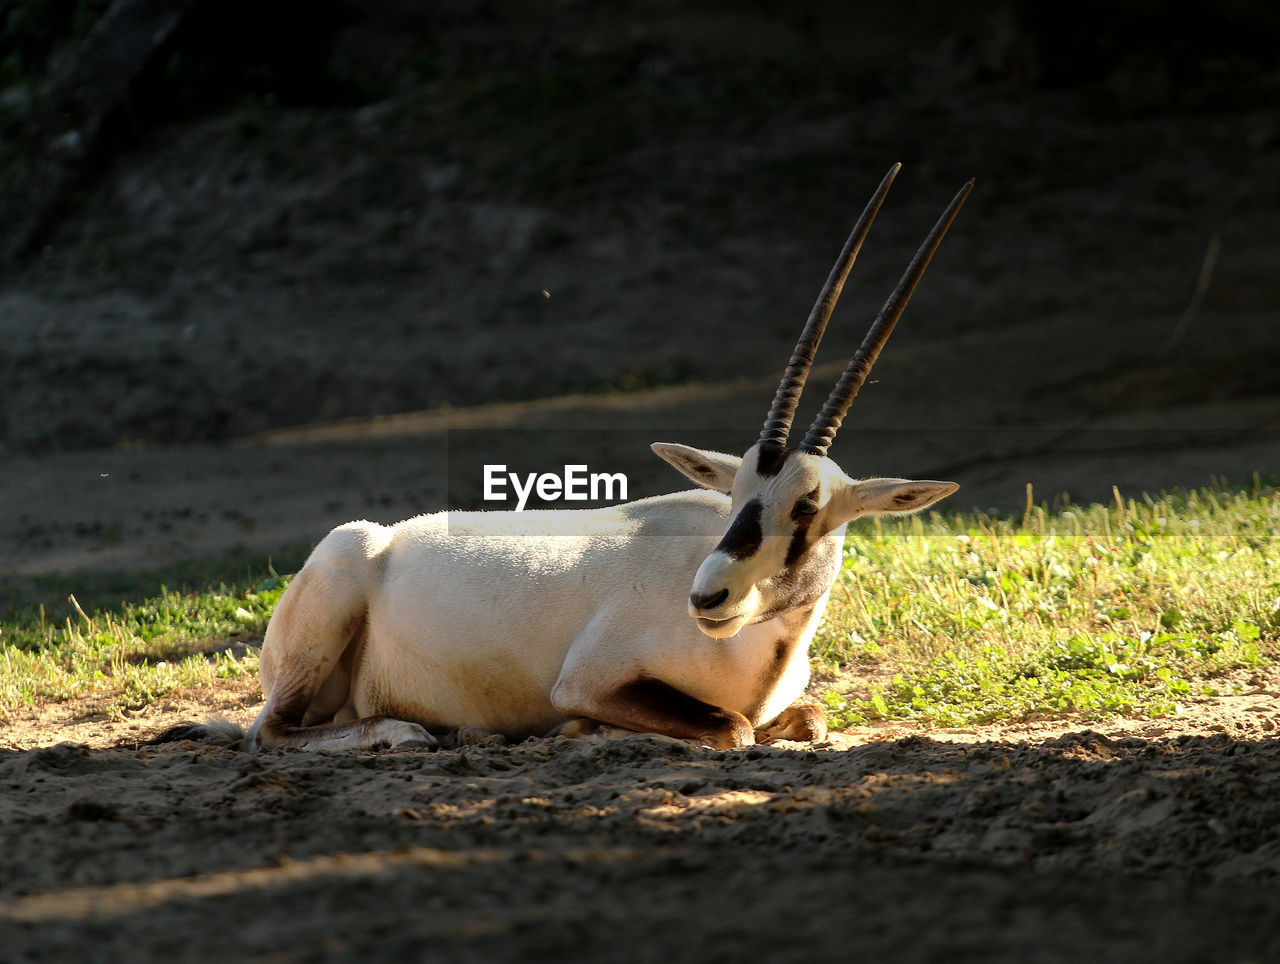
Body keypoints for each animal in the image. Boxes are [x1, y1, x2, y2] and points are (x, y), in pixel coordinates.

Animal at [244, 165, 972, 752]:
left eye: (807, 506)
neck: (754, 655)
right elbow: (731, 727)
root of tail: (376, 539)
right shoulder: (588, 681)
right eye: (735, 495)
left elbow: (810, 719)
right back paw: (411, 732)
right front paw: (587, 731)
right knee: (271, 731)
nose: (708, 596)